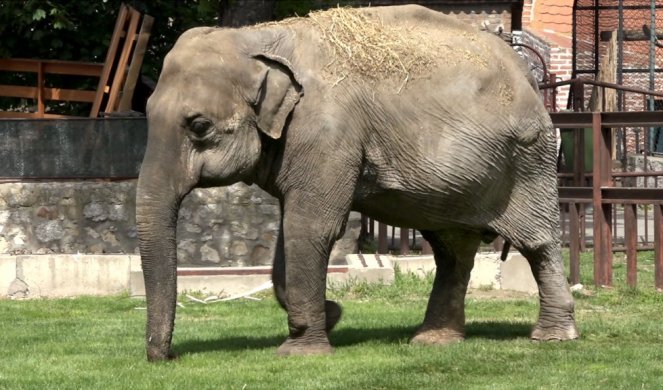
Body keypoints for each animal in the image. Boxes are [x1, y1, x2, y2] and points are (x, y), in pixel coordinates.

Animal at [137, 4, 580, 362]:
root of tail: (528, 75)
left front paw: (302, 350)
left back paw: (553, 338)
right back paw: (433, 340)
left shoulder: (327, 133)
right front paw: (329, 316)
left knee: (537, 242)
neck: (259, 38)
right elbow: (291, 228)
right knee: (452, 249)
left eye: (199, 126)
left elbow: (310, 227)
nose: (167, 357)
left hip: (528, 159)